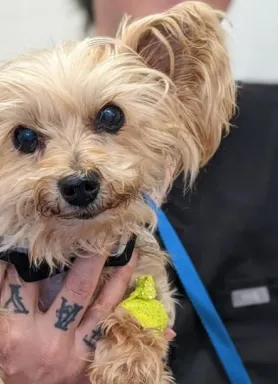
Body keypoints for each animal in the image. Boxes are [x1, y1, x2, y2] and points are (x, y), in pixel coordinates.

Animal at [0, 1, 236, 382]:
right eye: (23, 136)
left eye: (111, 115)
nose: (79, 184)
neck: (70, 249)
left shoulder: (145, 280)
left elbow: (138, 316)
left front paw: (130, 367)